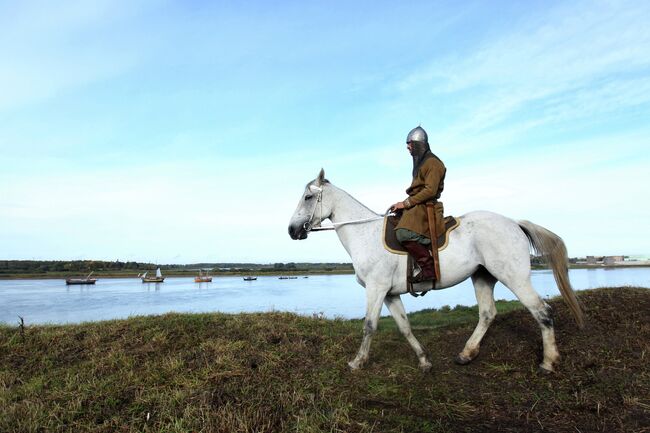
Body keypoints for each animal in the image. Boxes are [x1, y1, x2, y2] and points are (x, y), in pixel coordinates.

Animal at [288, 169, 584, 372]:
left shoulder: (376, 289)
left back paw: (548, 361)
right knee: (488, 314)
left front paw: (358, 362)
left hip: (514, 277)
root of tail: (514, 223)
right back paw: (466, 354)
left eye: (308, 197)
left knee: (542, 312)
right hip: (482, 277)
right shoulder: (390, 294)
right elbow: (404, 326)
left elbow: (369, 325)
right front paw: (424, 360)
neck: (364, 233)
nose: (292, 230)